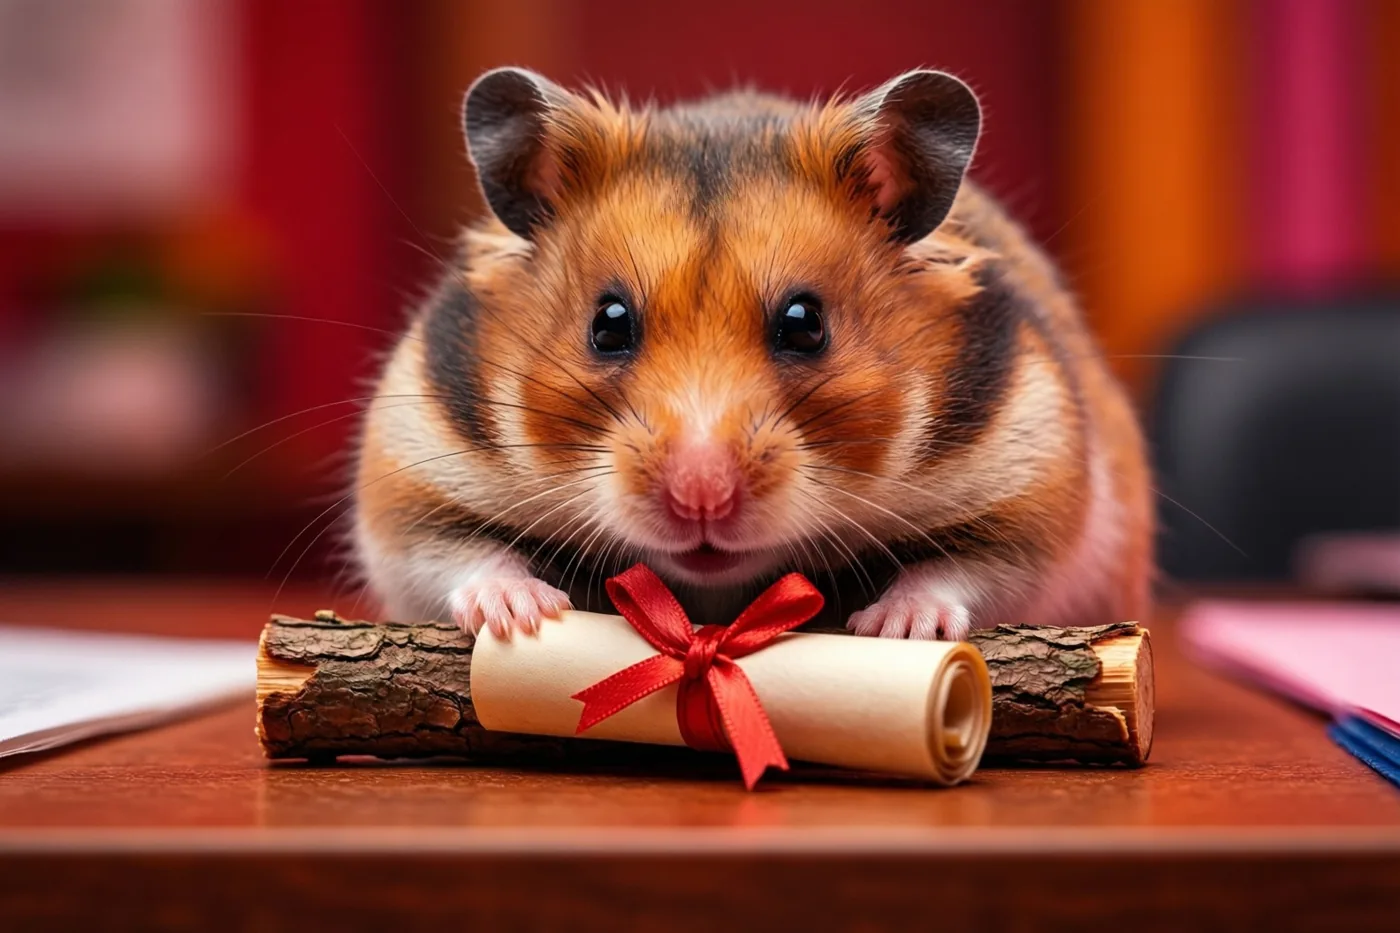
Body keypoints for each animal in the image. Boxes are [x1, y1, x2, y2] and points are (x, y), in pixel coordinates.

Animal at [353, 67, 1153, 642]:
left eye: (805, 324)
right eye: (607, 324)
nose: (700, 498)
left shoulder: (1033, 482)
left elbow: (969, 569)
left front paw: (894, 625)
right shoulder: (410, 474)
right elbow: (456, 553)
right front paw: (526, 613)